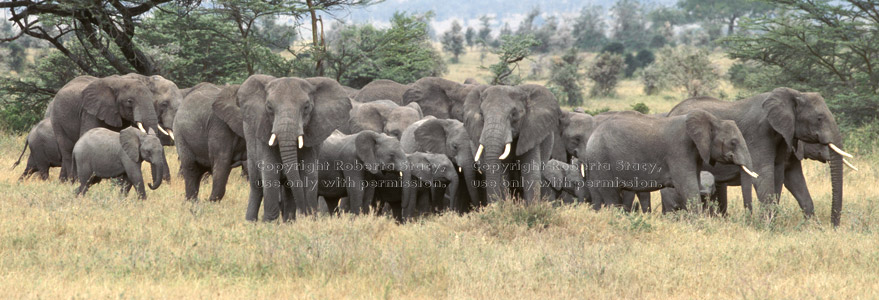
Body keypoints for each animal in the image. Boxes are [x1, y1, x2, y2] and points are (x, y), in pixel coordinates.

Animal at [241, 74, 354, 221]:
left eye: (306, 107)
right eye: (269, 107)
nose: (303, 212)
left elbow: (309, 174)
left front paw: (310, 220)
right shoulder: (264, 130)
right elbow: (270, 172)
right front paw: (269, 223)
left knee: (288, 188)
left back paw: (289, 221)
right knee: (257, 186)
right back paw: (250, 222)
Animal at [584, 110, 756, 211]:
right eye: (733, 142)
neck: (713, 119)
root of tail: (593, 134)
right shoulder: (679, 150)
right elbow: (687, 186)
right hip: (601, 159)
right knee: (611, 195)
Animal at [668, 88, 852, 226]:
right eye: (819, 118)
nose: (834, 226)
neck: (793, 93)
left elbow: (787, 178)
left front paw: (812, 228)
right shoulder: (759, 133)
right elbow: (764, 175)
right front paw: (767, 227)